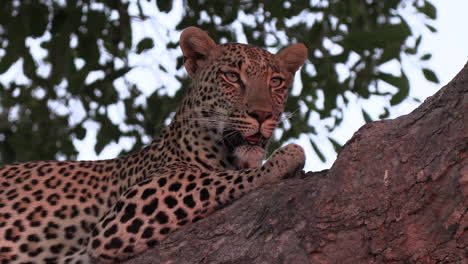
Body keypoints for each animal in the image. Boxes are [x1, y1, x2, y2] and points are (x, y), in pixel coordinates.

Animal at [0, 26, 308, 264]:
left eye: (276, 82)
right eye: (232, 76)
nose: (262, 115)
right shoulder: (128, 210)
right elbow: (219, 178)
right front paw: (285, 158)